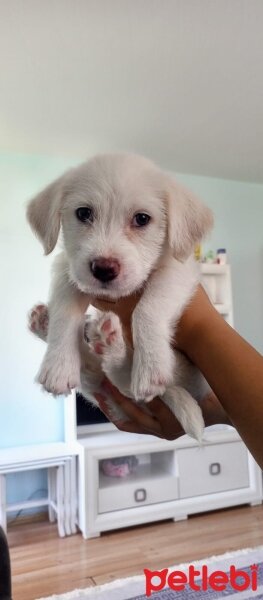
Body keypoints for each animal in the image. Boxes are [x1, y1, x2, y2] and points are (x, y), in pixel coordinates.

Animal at [26, 155, 213, 440]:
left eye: (142, 219)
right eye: (83, 213)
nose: (103, 269)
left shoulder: (178, 270)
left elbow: (147, 309)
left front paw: (151, 367)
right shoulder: (67, 270)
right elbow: (64, 316)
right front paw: (57, 366)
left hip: (186, 375)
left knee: (124, 379)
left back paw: (116, 349)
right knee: (99, 374)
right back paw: (52, 328)